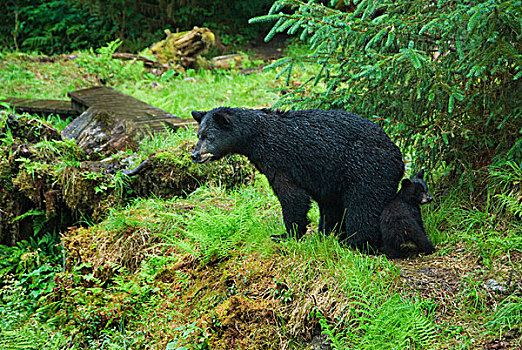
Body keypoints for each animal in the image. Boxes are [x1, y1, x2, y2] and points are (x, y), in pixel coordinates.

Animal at [190, 107, 402, 252]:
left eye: (208, 136)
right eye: (199, 135)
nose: (194, 155)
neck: (258, 138)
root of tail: (398, 155)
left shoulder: (281, 162)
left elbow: (293, 197)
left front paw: (285, 235)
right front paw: (324, 234)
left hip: (366, 168)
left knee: (364, 205)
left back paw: (356, 242)